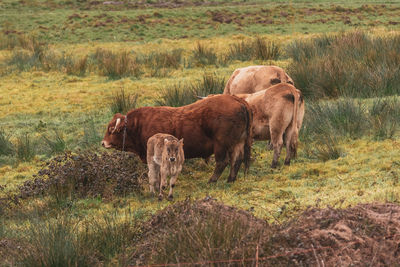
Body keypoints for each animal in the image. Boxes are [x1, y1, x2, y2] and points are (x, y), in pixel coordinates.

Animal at [101, 96, 252, 184]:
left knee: (223, 162)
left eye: (111, 129)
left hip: (221, 145)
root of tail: (237, 100)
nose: (103, 143)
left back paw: (212, 180)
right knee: (236, 160)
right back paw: (231, 179)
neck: (138, 126)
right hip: (238, 142)